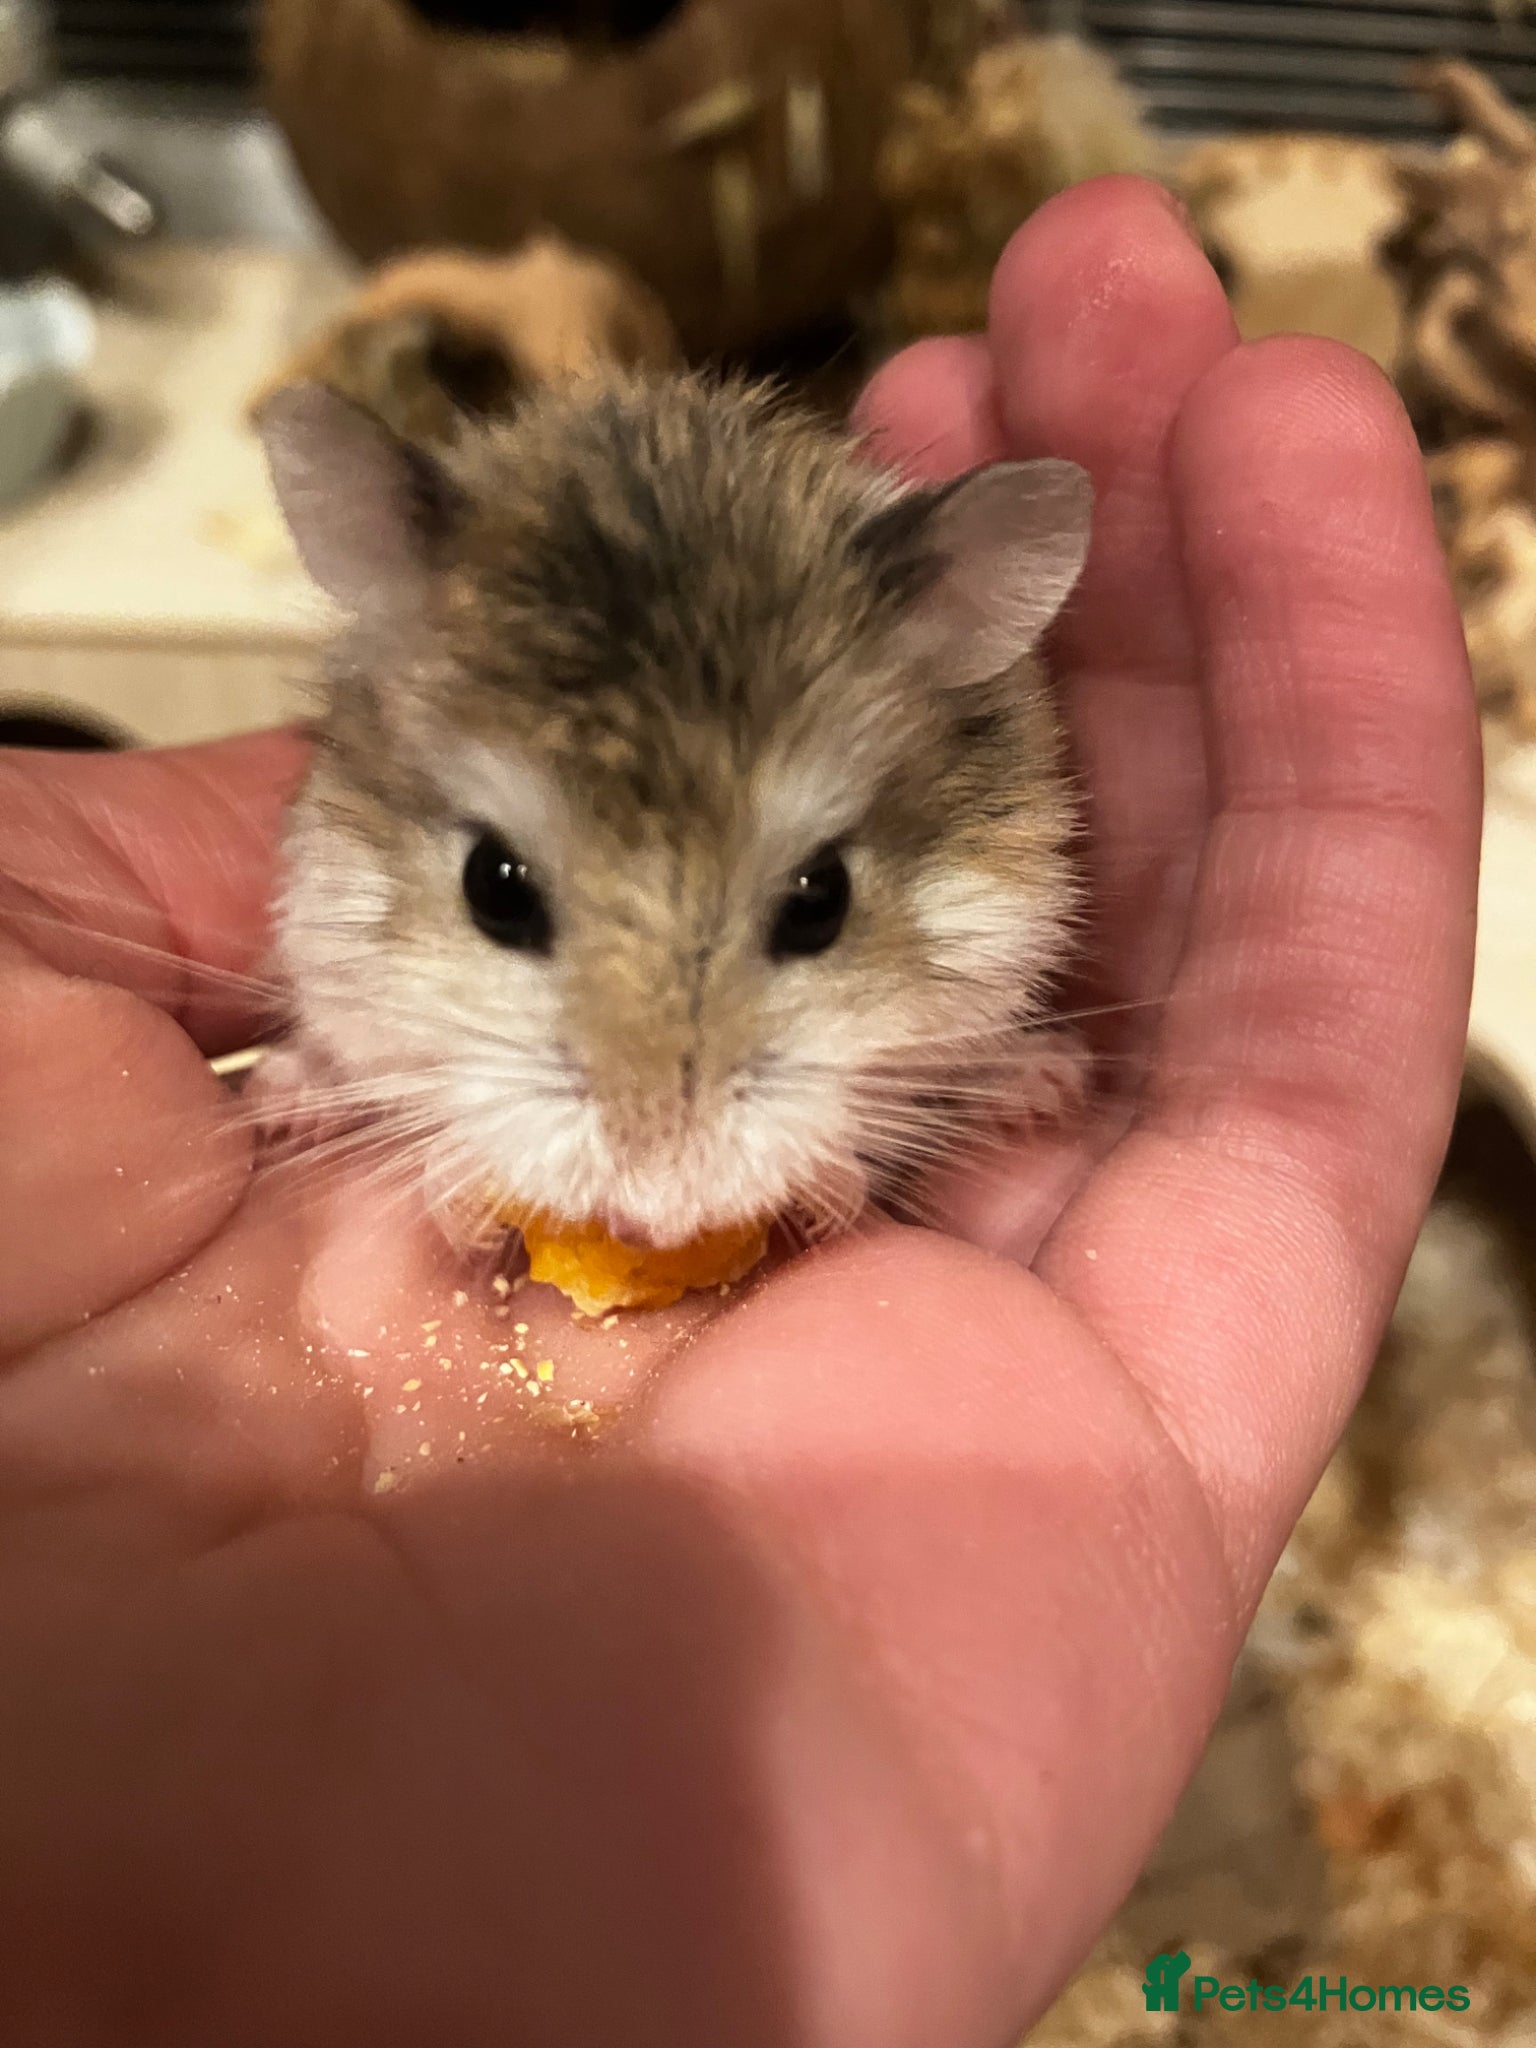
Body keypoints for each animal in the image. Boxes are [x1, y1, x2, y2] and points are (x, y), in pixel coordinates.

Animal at [254, 371, 1092, 1252]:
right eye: (493, 887)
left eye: (822, 901)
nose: (654, 1214)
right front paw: (460, 1203)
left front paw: (835, 1189)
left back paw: (1043, 1080)